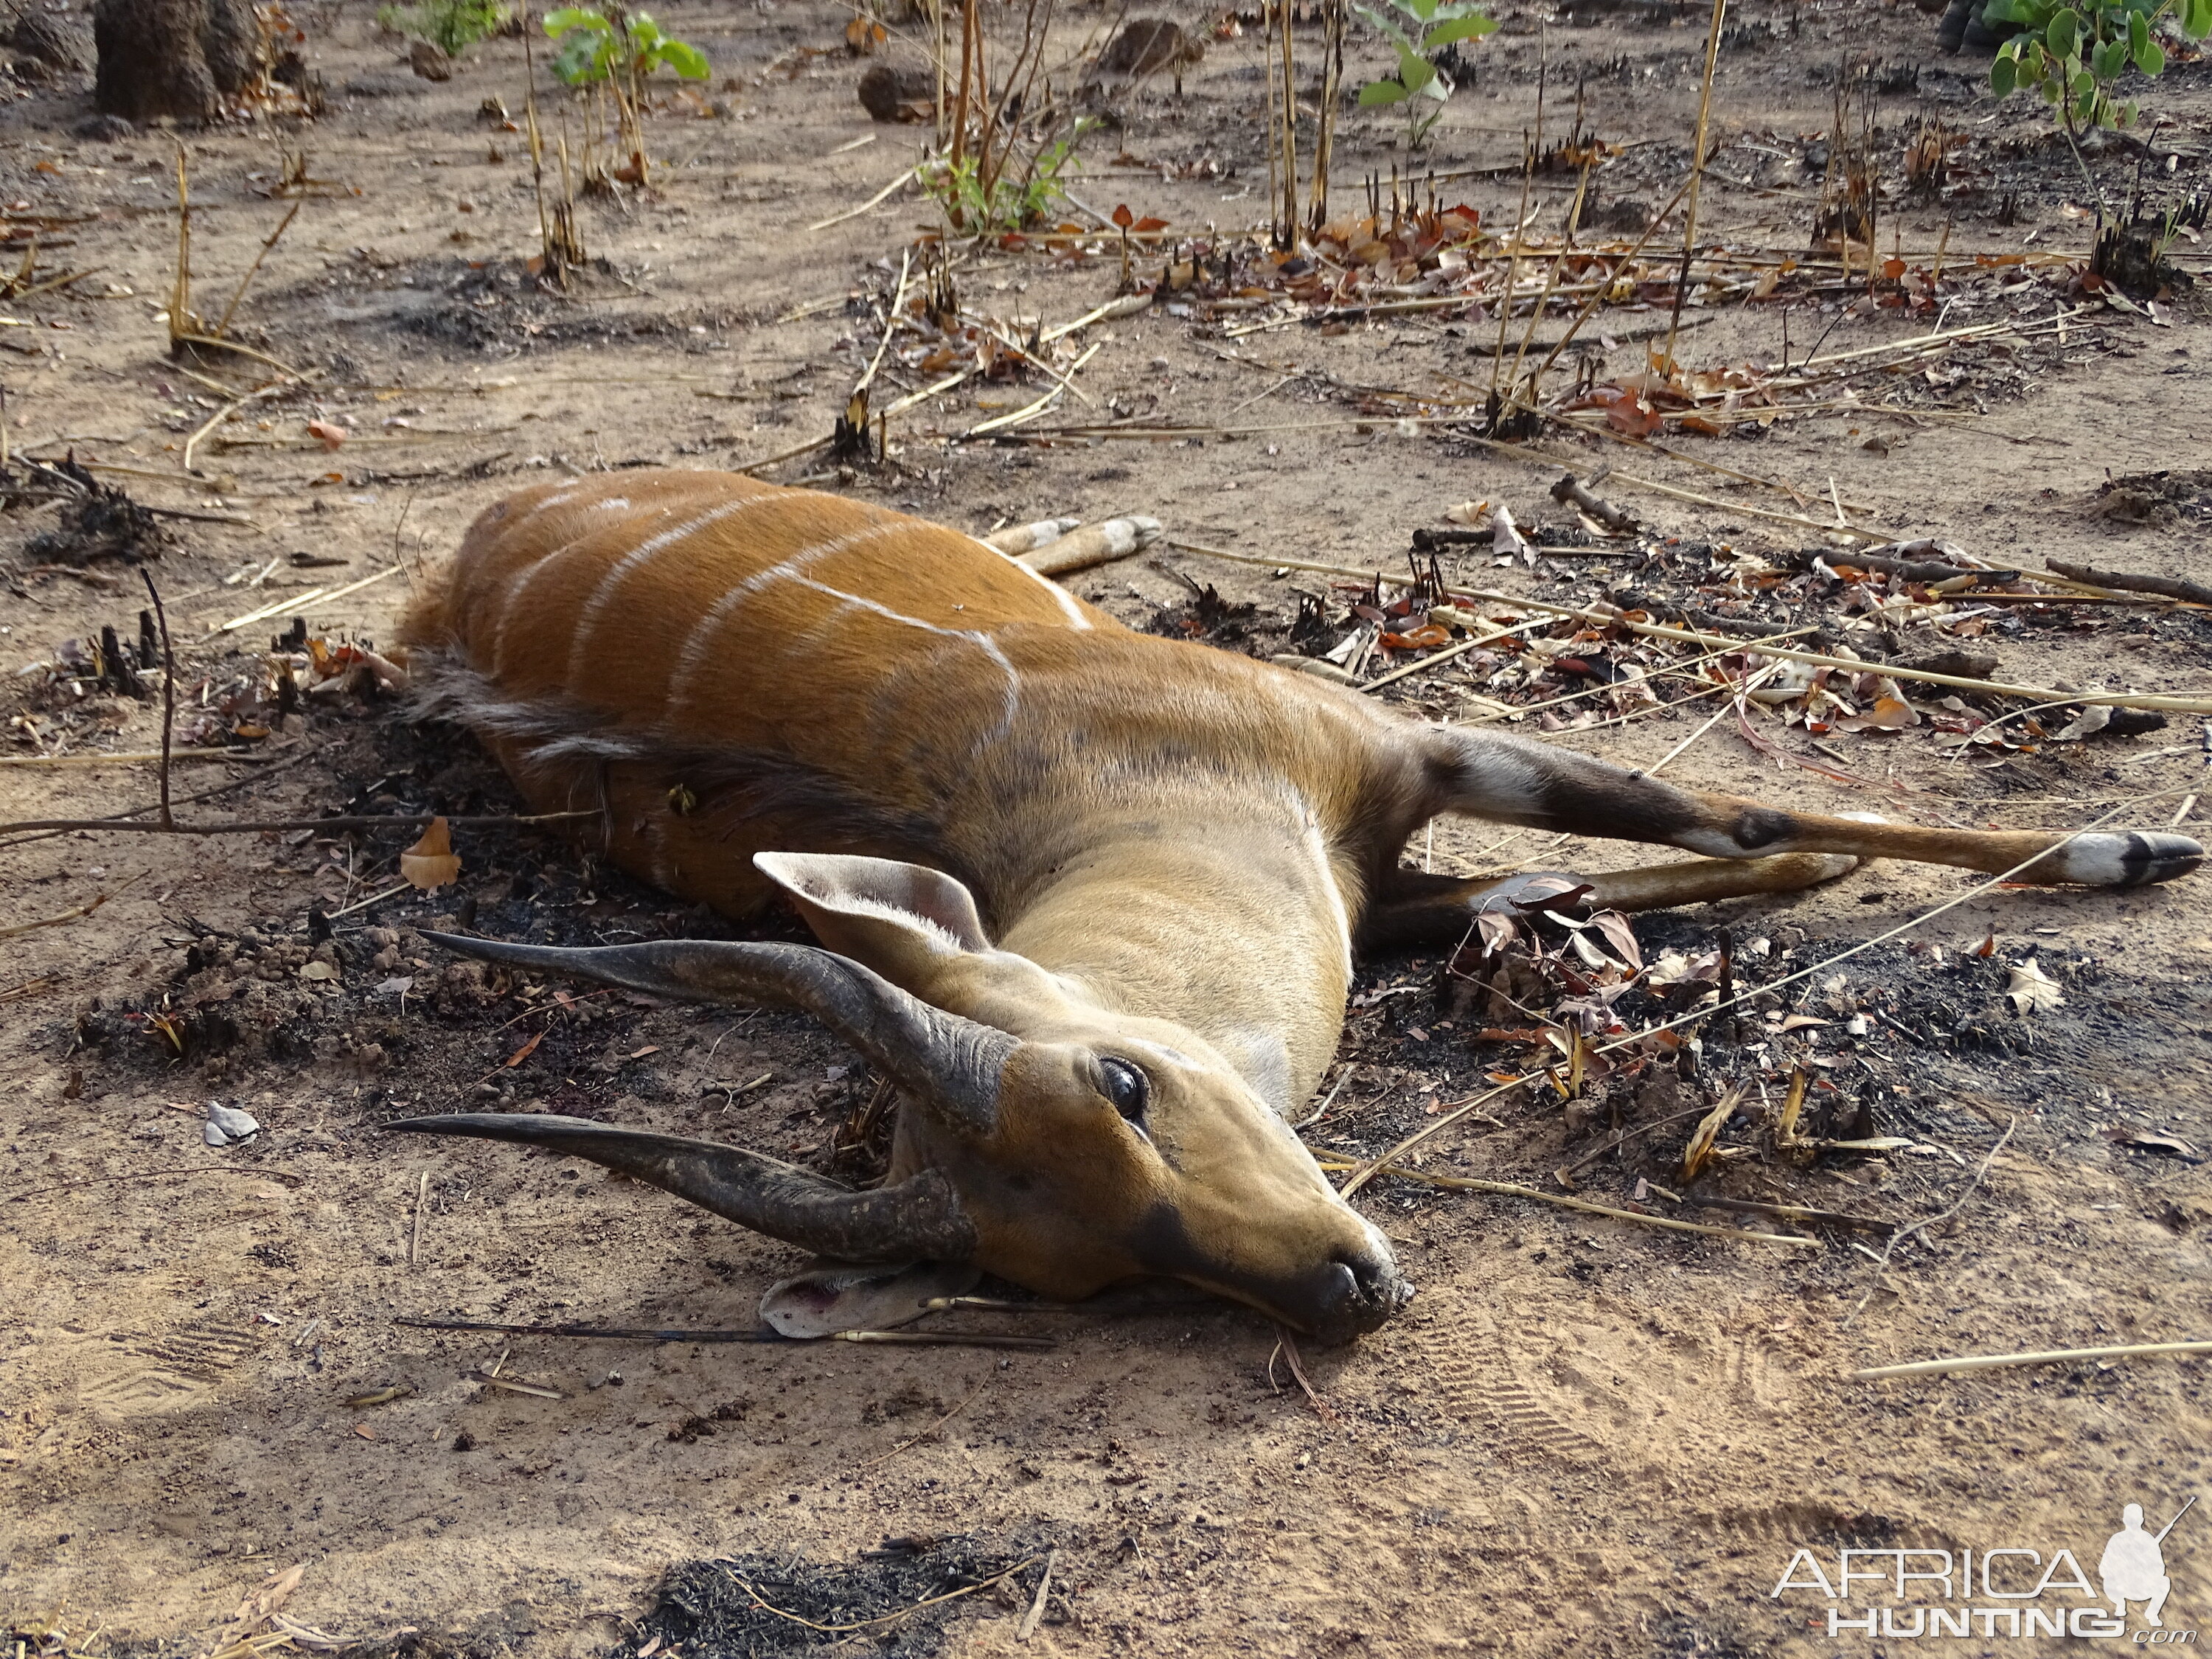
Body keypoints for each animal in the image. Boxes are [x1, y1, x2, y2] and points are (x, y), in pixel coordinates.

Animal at [394, 462, 2194, 1345]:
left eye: (1122, 1082)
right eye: (1066, 1276)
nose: (1344, 1294)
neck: (1119, 798)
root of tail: (462, 562)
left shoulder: (1393, 745)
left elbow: (1704, 807)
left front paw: (2125, 850)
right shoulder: (1372, 861)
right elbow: (1574, 875)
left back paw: (1115, 522)